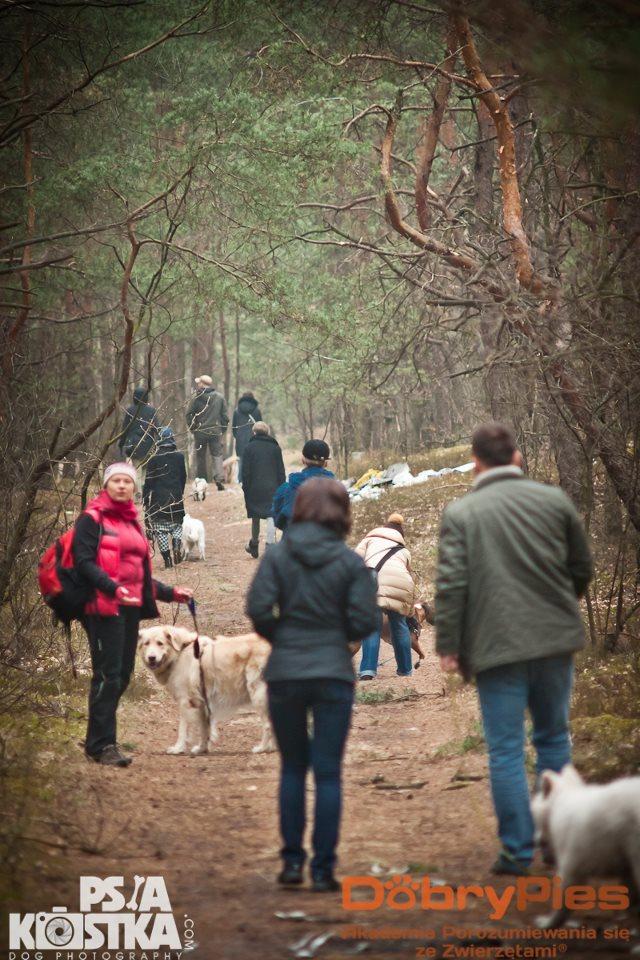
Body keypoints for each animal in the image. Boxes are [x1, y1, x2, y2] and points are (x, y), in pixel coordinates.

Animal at [138, 624, 272, 756]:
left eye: (160, 643)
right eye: (146, 643)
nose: (151, 658)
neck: (180, 653)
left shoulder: (186, 702)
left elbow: (183, 729)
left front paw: (178, 748)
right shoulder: (202, 703)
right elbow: (204, 729)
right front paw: (202, 748)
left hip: (257, 694)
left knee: (267, 725)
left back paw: (262, 748)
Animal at [528, 764, 640, 924]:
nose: (535, 841)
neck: (561, 803)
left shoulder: (572, 865)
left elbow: (563, 898)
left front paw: (548, 923)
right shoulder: (625, 865)